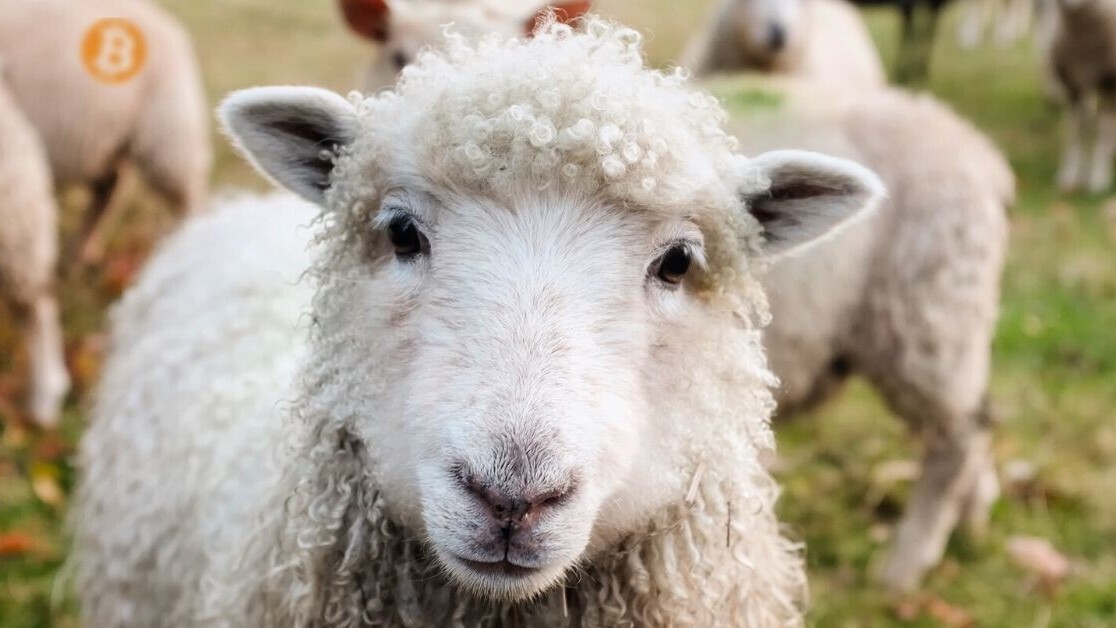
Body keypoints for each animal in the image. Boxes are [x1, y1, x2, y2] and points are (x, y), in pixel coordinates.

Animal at [1047, 0, 1116, 193]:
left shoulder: (1109, 85)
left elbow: (1103, 129)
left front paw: (1098, 178)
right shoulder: (1073, 86)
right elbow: (1075, 130)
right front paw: (1069, 176)